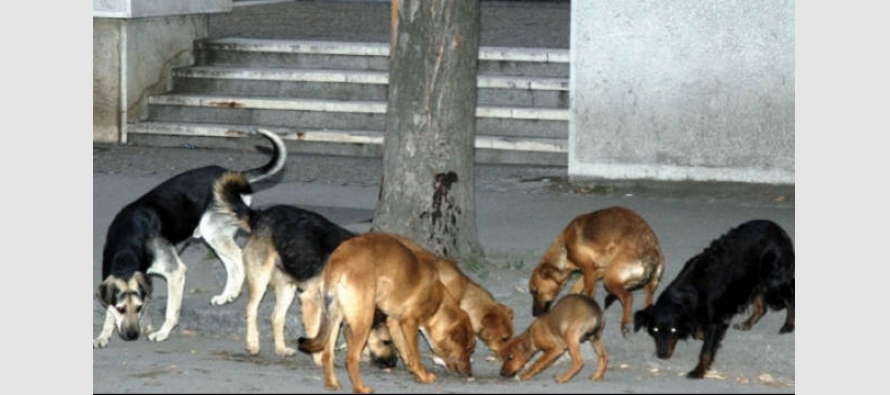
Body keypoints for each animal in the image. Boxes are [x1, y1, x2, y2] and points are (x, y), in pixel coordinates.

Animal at [91, 129, 284, 350]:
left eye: (138, 307)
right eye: (121, 309)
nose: (133, 336)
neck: (128, 243)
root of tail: (235, 173)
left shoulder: (175, 273)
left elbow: (171, 311)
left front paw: (162, 333)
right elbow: (108, 312)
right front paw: (103, 335)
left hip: (212, 231)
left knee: (239, 258)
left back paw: (235, 292)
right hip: (214, 236)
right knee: (232, 264)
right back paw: (227, 296)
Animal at [296, 234, 476, 394]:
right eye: (469, 349)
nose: (470, 374)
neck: (439, 305)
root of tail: (339, 260)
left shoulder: (395, 323)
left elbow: (407, 353)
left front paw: (415, 373)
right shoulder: (409, 323)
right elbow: (415, 354)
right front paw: (424, 376)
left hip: (334, 320)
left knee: (327, 354)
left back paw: (331, 383)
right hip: (364, 321)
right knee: (351, 358)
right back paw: (360, 388)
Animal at [524, 207, 664, 338]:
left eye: (535, 291)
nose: (534, 314)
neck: (564, 247)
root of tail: (651, 252)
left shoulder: (588, 269)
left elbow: (587, 293)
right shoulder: (597, 270)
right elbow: (575, 288)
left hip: (609, 279)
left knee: (628, 297)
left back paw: (625, 323)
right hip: (646, 284)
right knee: (648, 301)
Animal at [632, 221, 792, 378]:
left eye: (673, 330)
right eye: (655, 330)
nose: (662, 355)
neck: (684, 293)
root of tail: (776, 228)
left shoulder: (715, 321)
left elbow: (706, 350)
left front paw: (699, 370)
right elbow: (698, 332)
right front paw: (702, 334)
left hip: (774, 280)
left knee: (790, 298)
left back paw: (788, 326)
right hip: (753, 280)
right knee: (761, 307)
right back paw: (747, 324)